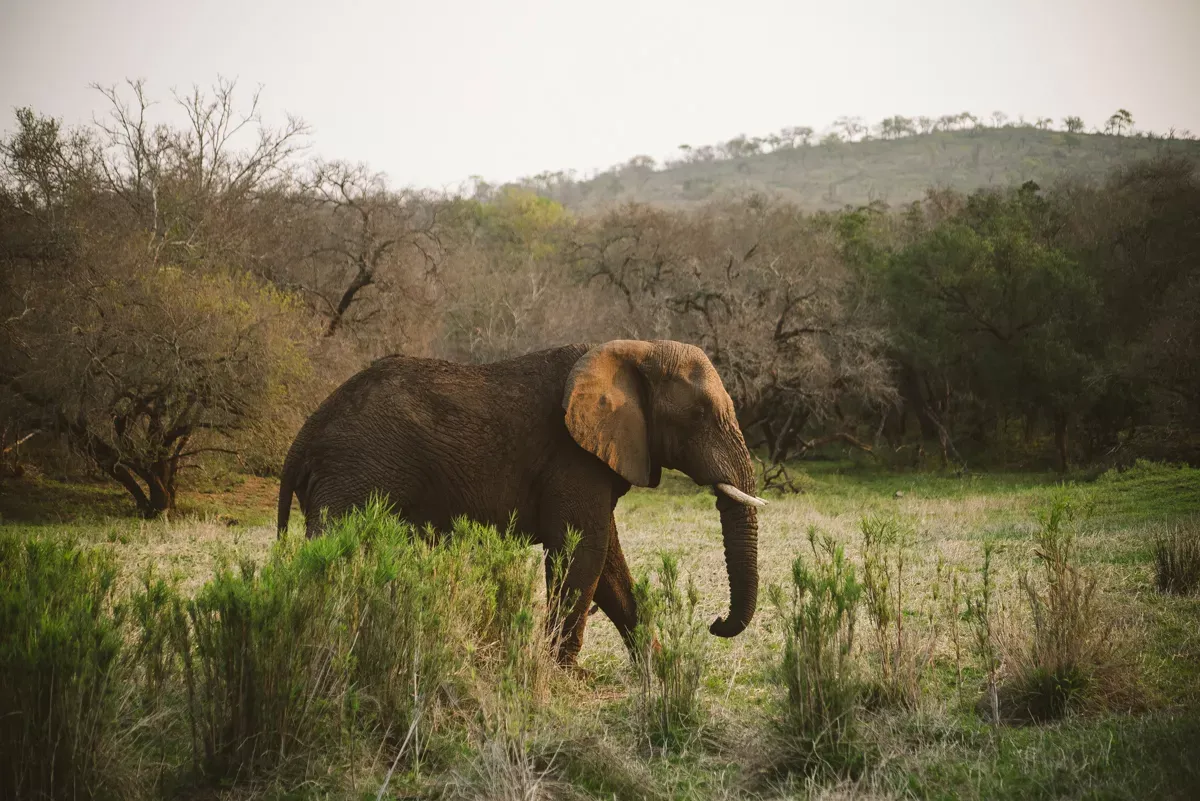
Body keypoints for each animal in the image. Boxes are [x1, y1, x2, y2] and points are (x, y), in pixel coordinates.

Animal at [276, 339, 765, 665]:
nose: (715, 623)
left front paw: (661, 670)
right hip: (352, 476)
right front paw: (563, 675)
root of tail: (303, 436)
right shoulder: (572, 456)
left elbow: (607, 563)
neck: (634, 350)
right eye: (699, 415)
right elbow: (583, 552)